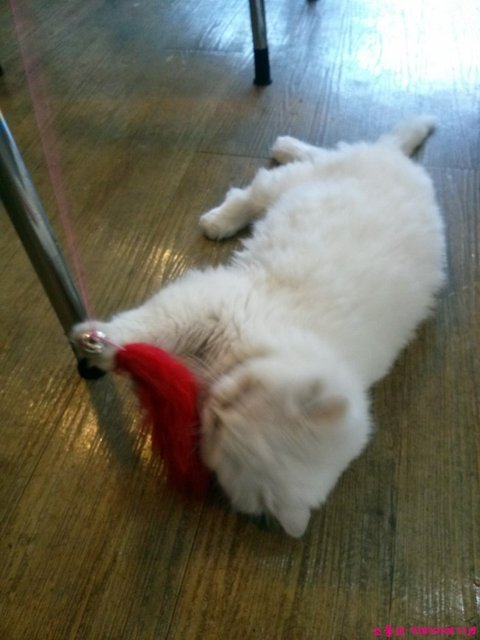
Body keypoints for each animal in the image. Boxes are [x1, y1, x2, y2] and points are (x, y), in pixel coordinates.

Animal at [72, 117, 446, 537]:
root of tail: (399, 161)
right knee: (260, 187)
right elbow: (144, 325)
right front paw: (96, 342)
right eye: (240, 397)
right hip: (297, 182)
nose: (214, 405)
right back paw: (231, 206)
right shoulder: (207, 304)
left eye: (220, 432)